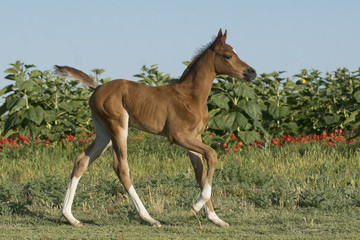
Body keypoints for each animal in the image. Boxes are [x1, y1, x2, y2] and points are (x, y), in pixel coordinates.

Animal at [55, 29, 256, 228]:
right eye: (228, 55)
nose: (252, 72)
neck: (191, 96)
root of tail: (97, 87)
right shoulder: (177, 136)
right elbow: (212, 155)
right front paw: (196, 206)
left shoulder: (194, 137)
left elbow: (200, 172)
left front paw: (214, 218)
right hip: (118, 126)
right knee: (121, 167)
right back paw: (148, 218)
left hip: (104, 133)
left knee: (82, 161)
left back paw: (70, 216)